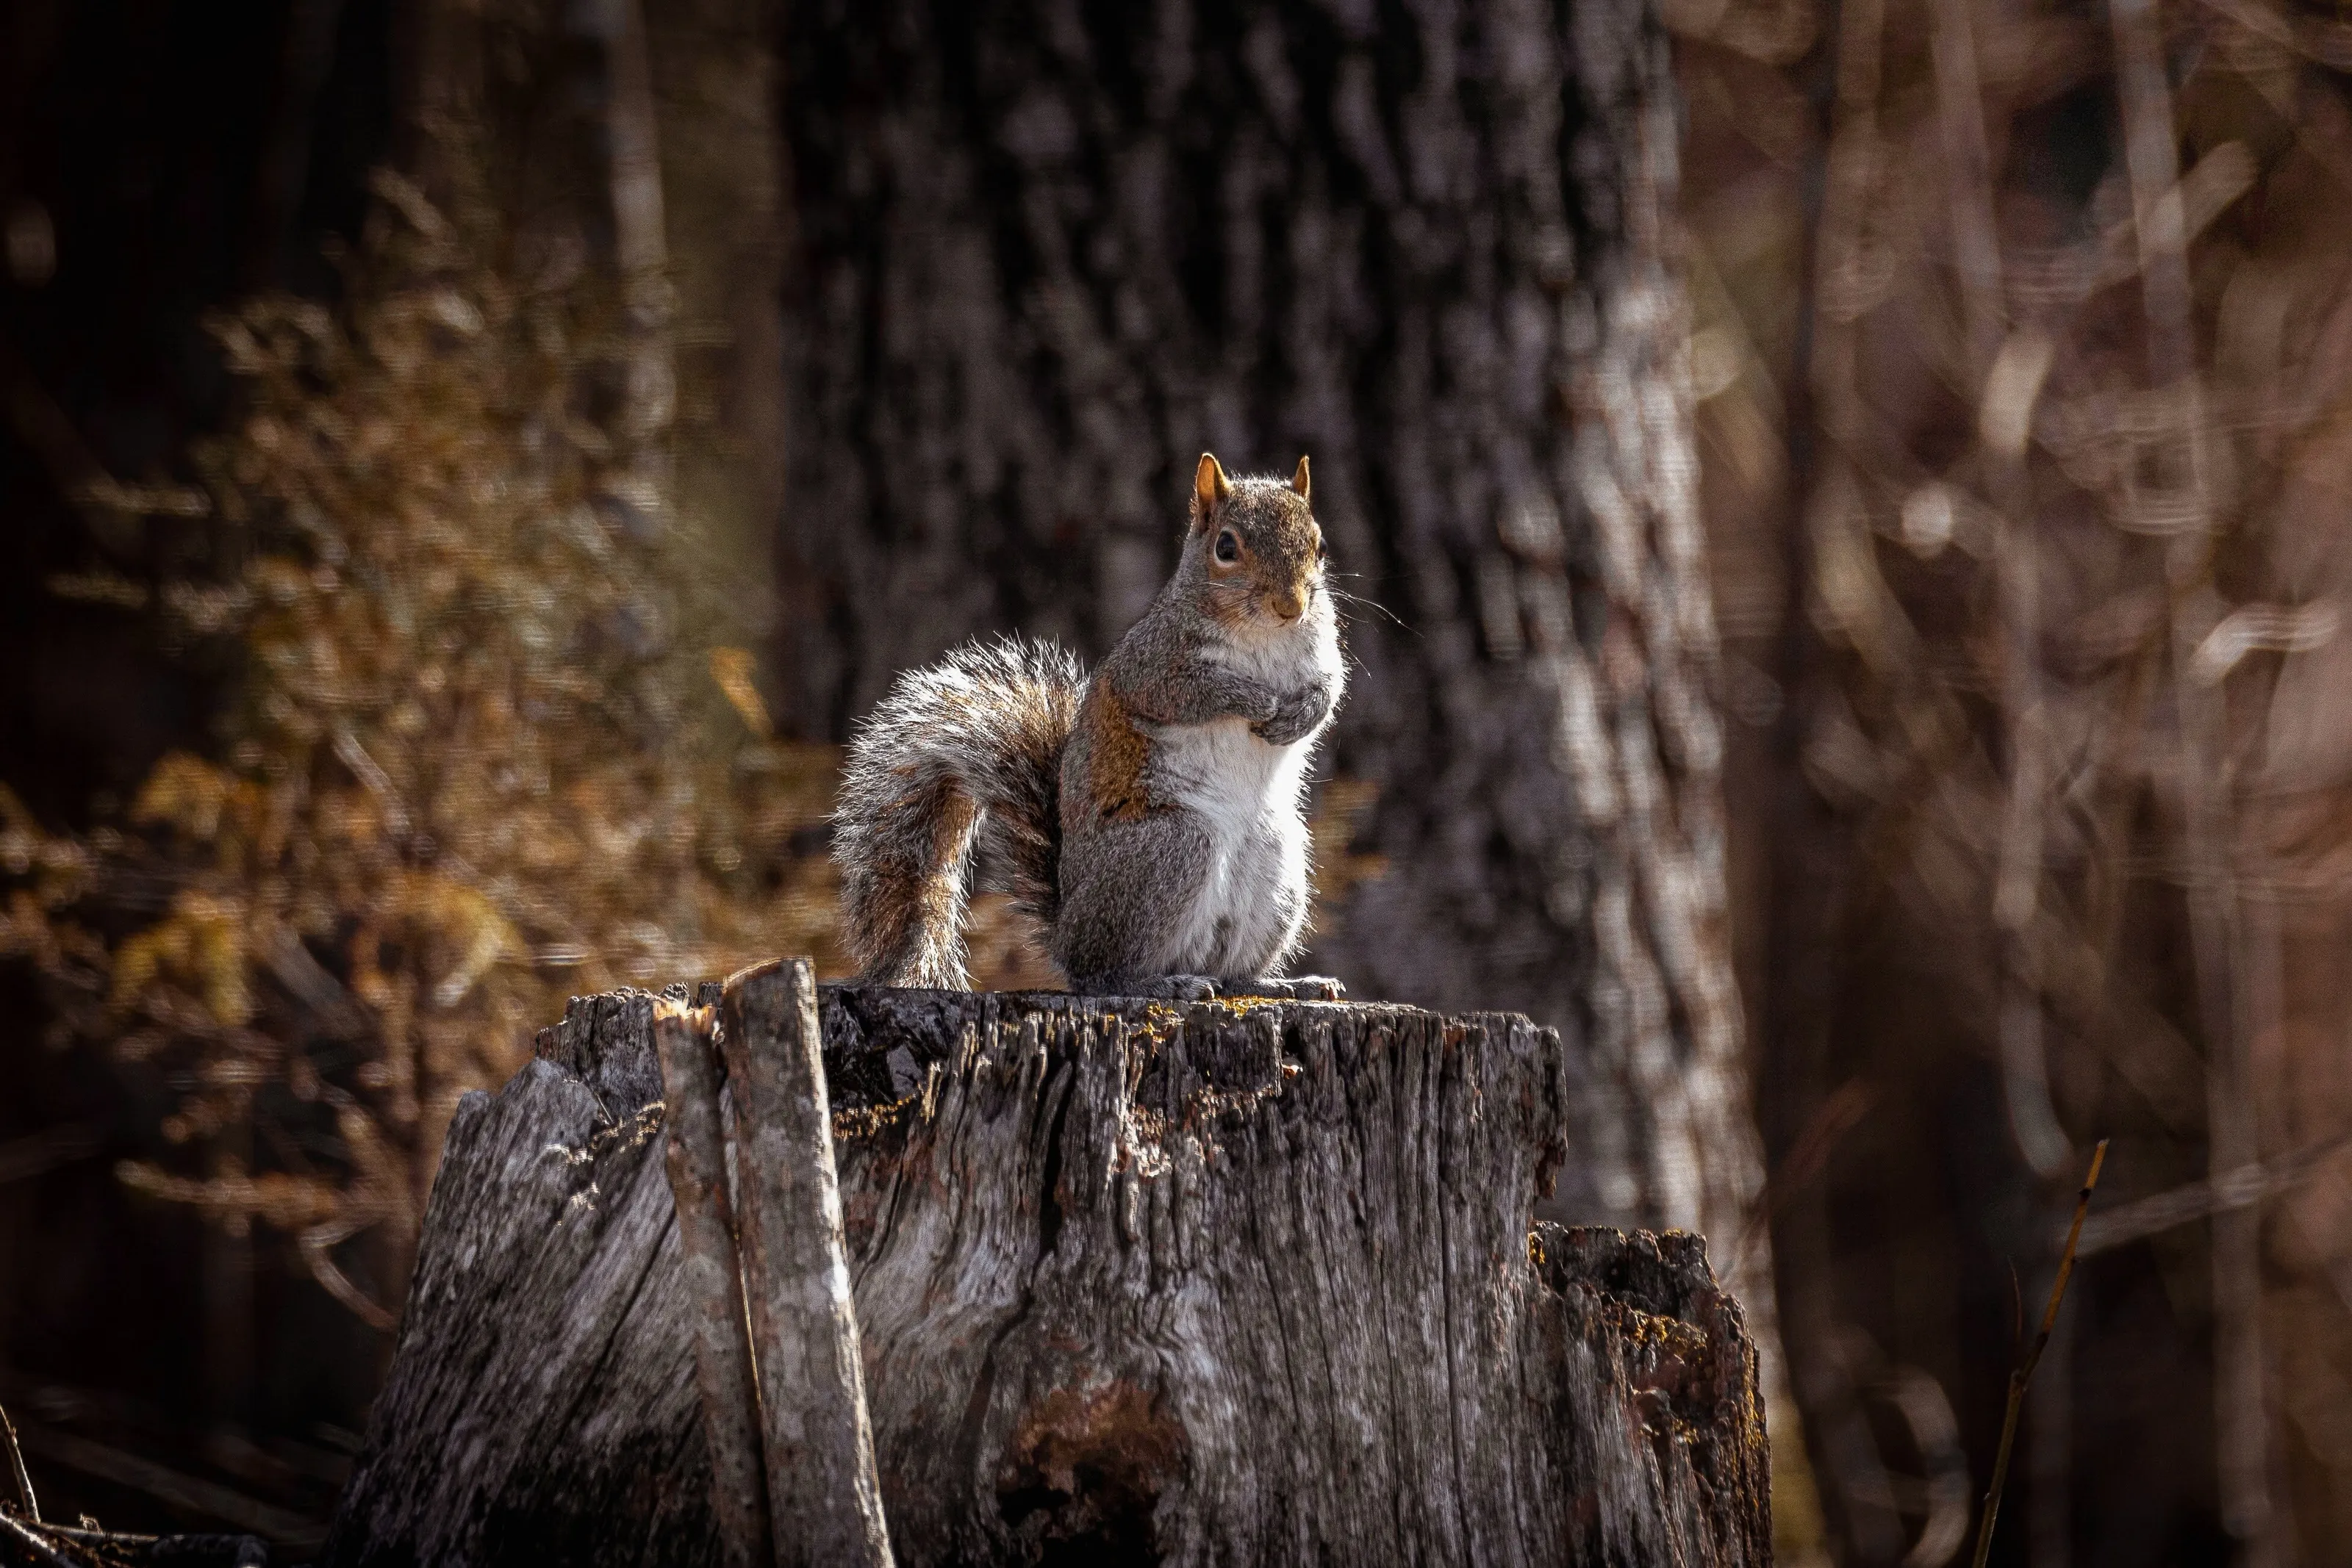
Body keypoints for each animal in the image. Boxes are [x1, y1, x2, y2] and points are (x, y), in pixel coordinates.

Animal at [832, 452, 1348, 1000]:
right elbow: (1185, 695)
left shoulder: (1322, 654)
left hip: (1278, 867)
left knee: (1231, 974)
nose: (1291, 606)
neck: (1264, 636)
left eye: (1320, 546)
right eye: (1226, 548)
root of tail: (1066, 932)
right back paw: (1163, 985)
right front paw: (1255, 700)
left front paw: (1300, 715)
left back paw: (1283, 984)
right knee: (1103, 975)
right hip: (1169, 848)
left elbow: (1329, 689)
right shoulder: (1151, 666)